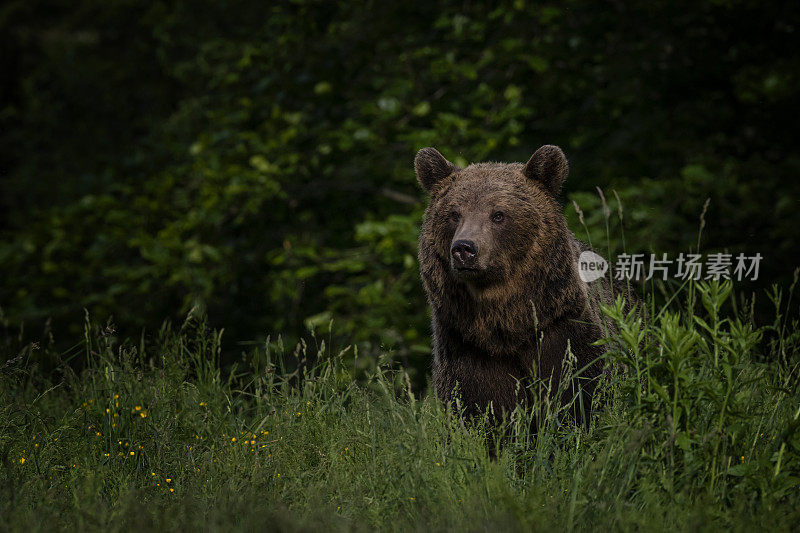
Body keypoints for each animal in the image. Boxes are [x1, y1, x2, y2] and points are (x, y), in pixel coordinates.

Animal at [412, 143, 632, 422]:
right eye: (454, 214)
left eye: (498, 214)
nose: (464, 249)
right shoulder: (466, 346)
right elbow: (481, 406)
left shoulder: (563, 329)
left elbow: (578, 392)